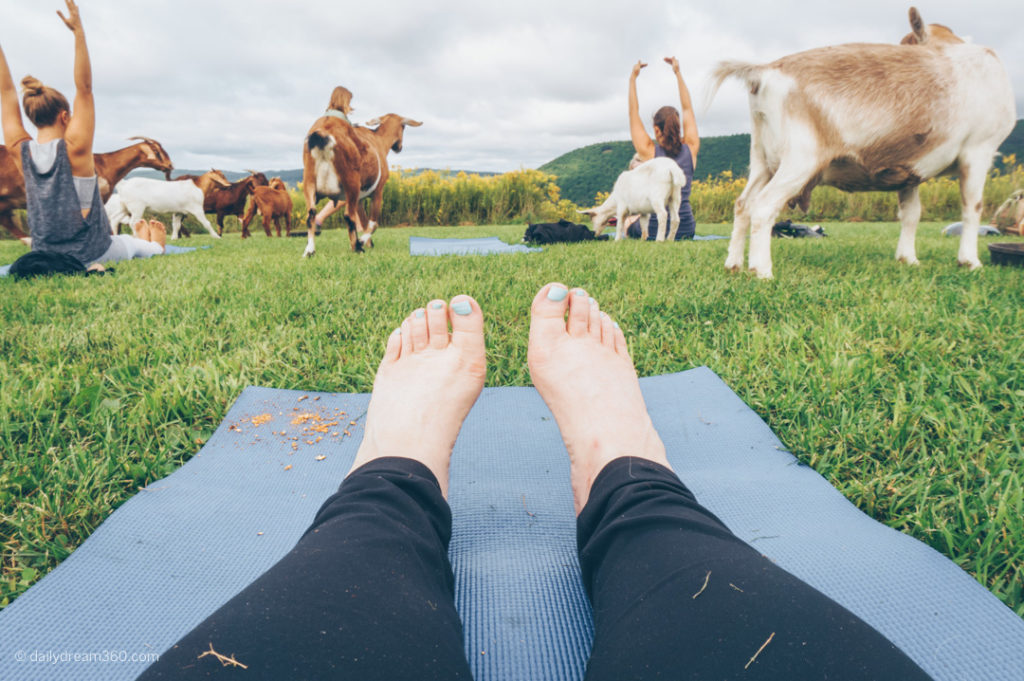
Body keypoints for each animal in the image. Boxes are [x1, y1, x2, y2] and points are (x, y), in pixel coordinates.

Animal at [299, 112, 419, 256]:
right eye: (404, 127)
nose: (399, 148)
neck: (378, 139)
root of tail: (323, 132)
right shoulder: (378, 191)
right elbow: (373, 224)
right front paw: (360, 242)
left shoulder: (359, 199)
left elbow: (364, 222)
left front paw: (368, 244)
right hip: (351, 182)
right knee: (348, 216)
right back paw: (357, 248)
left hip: (309, 181)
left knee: (311, 214)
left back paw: (309, 250)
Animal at [712, 6, 1015, 278]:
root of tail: (765, 70)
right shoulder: (979, 148)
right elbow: (972, 206)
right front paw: (970, 262)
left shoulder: (910, 170)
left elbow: (911, 213)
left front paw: (908, 259)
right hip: (801, 158)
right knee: (764, 205)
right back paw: (762, 271)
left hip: (762, 159)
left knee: (743, 204)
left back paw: (733, 265)